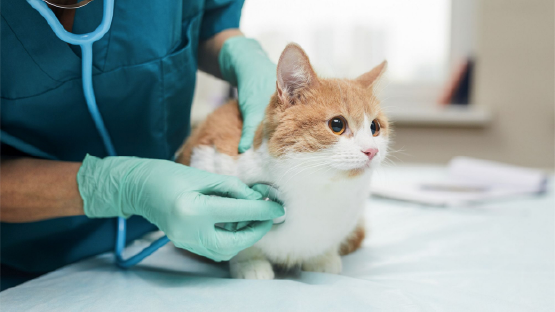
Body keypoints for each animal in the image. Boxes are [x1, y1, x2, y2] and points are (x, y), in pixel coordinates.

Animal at [176, 42, 388, 280]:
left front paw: (322, 259)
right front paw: (250, 264)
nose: (371, 150)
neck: (315, 187)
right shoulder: (210, 158)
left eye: (374, 127)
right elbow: (241, 244)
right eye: (337, 125)